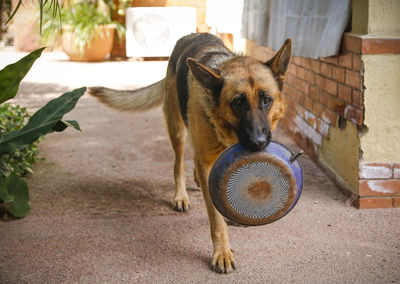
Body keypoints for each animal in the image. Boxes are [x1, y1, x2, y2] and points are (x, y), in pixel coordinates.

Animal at [89, 33, 290, 272]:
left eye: (266, 100)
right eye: (238, 103)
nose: (258, 143)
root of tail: (192, 35)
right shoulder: (207, 163)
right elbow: (215, 218)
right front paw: (222, 252)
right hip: (177, 130)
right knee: (179, 164)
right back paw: (181, 195)